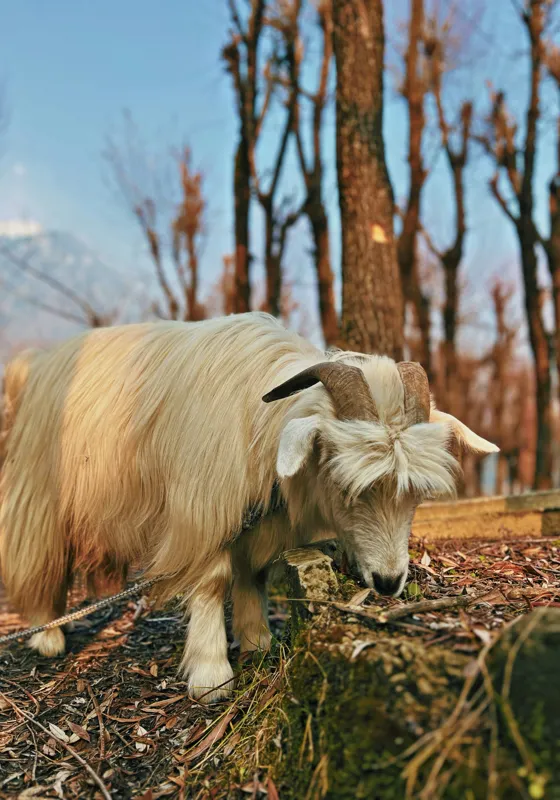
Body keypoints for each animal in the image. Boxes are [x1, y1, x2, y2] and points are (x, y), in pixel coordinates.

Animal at [0, 312, 498, 701]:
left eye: (413, 494)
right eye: (343, 483)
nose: (390, 582)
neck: (258, 420)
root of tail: (33, 365)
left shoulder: (259, 518)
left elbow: (252, 573)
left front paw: (258, 639)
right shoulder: (202, 507)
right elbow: (212, 580)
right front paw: (211, 674)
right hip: (39, 494)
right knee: (37, 556)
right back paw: (47, 632)